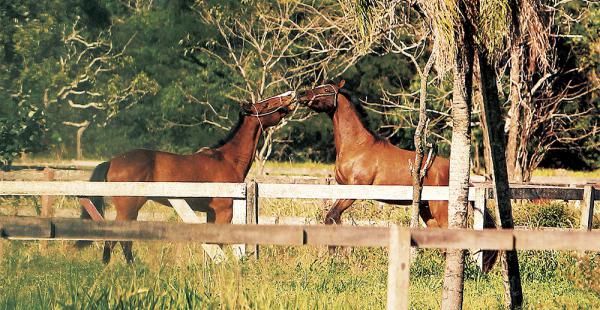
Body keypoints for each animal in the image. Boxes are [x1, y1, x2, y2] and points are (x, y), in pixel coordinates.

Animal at [77, 91, 298, 262]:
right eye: (266, 104)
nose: (290, 96)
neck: (227, 159)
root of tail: (113, 161)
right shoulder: (224, 212)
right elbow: (218, 245)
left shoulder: (211, 214)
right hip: (128, 208)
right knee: (114, 240)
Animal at [296, 81, 496, 272]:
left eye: (326, 89)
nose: (302, 94)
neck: (358, 147)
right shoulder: (343, 189)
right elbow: (333, 218)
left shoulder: (353, 192)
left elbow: (332, 216)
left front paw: (338, 257)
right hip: (426, 211)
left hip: (440, 208)